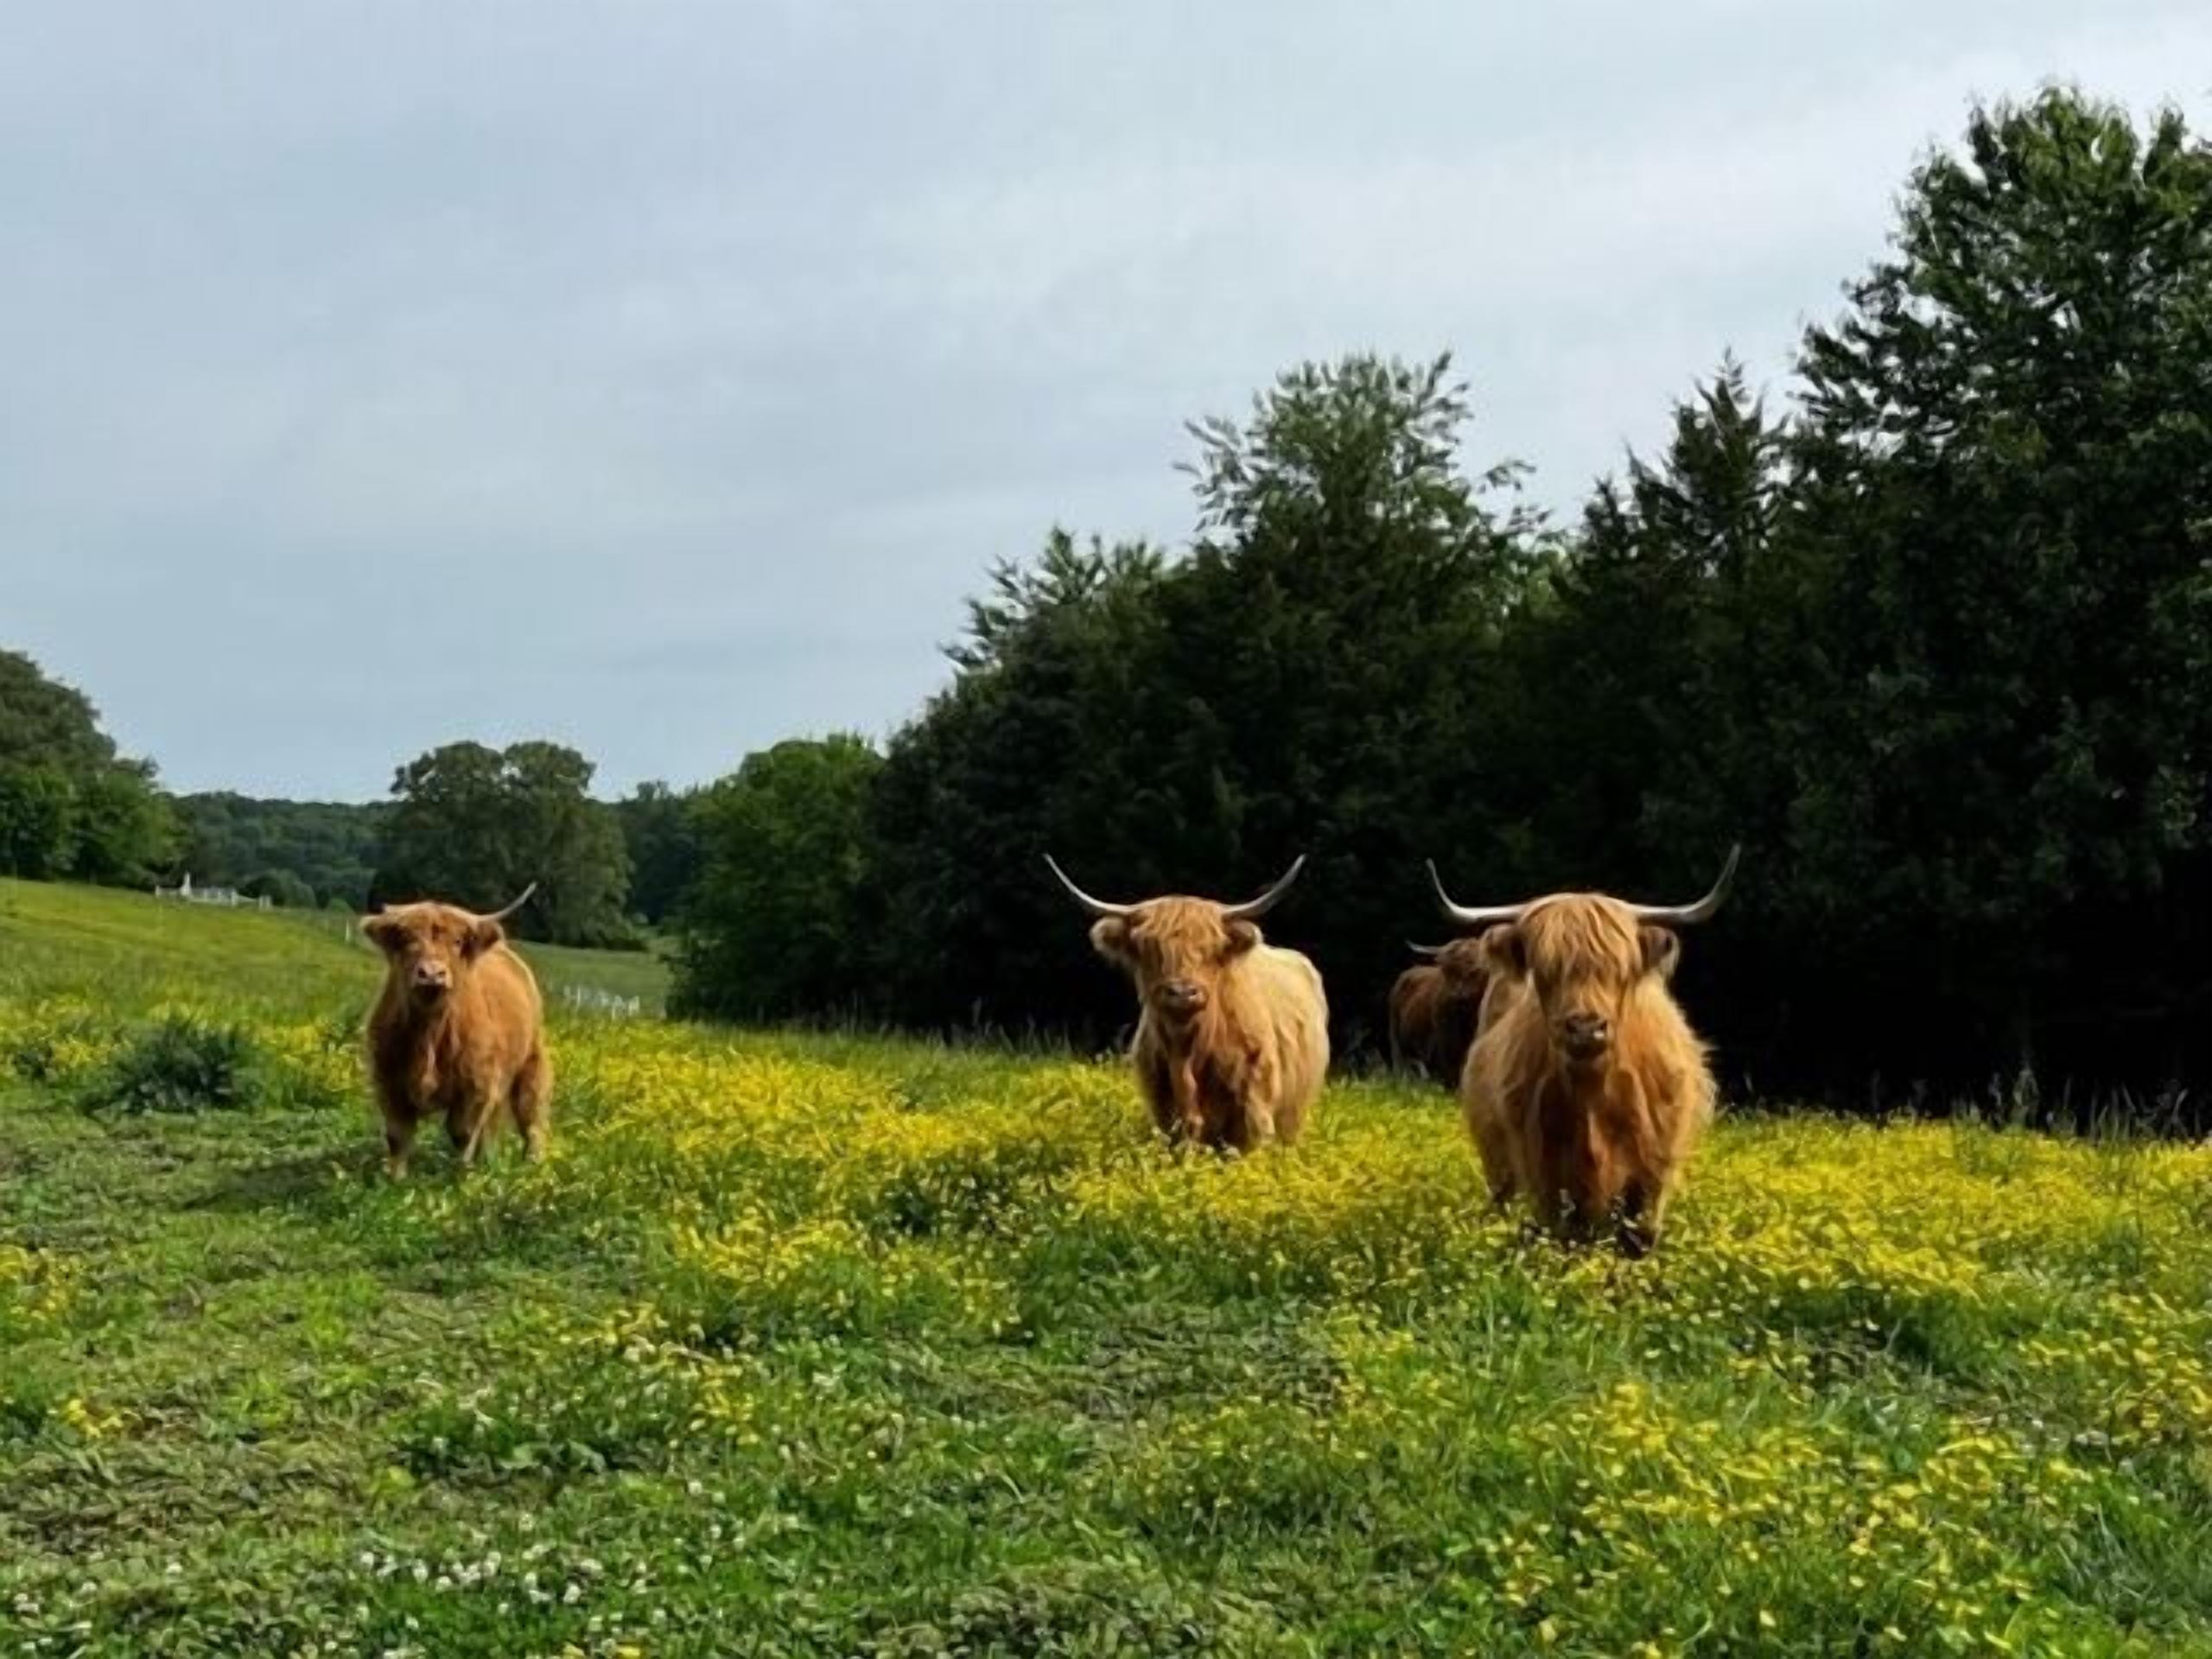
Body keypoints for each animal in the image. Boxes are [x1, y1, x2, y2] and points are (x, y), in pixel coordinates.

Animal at [362, 883, 551, 1178]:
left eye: (458, 941)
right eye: (405, 938)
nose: (431, 974)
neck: (429, 1034)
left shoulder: (477, 1087)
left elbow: (463, 1132)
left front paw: (461, 1177)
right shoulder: (388, 1082)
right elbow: (398, 1136)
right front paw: (395, 1179)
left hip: (531, 1060)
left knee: (531, 1116)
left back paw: (534, 1164)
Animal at [1046, 855, 1329, 1152]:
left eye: (1213, 948)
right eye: (1148, 948)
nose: (1182, 992)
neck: (1187, 1051)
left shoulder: (1254, 1114)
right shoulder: (1164, 1111)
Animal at [1428, 847, 1739, 1254]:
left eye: (1621, 969)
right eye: (1545, 972)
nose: (1585, 1028)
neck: (1594, 1094)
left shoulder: (1653, 1169)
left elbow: (1638, 1237)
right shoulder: (1545, 1172)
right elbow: (1564, 1235)